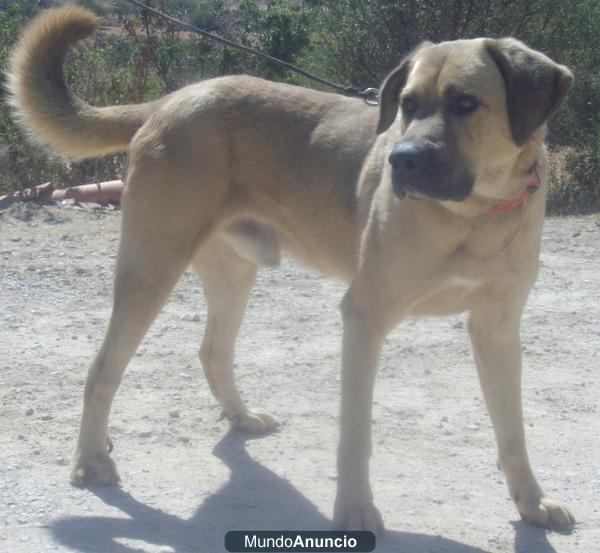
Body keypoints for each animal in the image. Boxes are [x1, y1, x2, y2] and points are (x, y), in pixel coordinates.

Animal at [7, 3, 576, 532]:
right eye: (408, 105)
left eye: (465, 104)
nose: (401, 160)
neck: (476, 214)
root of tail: (172, 98)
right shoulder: (365, 318)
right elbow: (355, 434)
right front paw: (355, 510)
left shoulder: (497, 328)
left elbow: (513, 429)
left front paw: (531, 500)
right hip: (151, 266)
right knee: (103, 368)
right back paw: (90, 459)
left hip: (233, 274)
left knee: (212, 350)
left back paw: (237, 417)